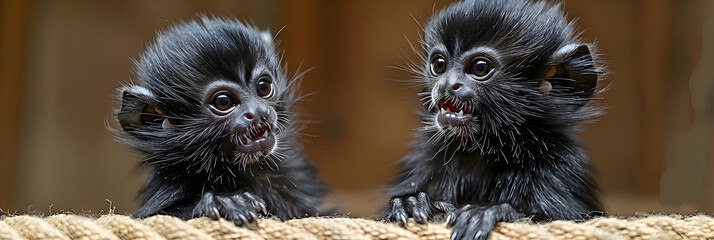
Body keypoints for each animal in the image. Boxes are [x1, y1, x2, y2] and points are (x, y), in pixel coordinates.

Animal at [384, 0, 600, 239]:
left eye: (480, 68)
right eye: (439, 64)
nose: (447, 84)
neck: (486, 149)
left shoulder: (561, 167)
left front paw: (487, 211)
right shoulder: (424, 159)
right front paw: (411, 202)